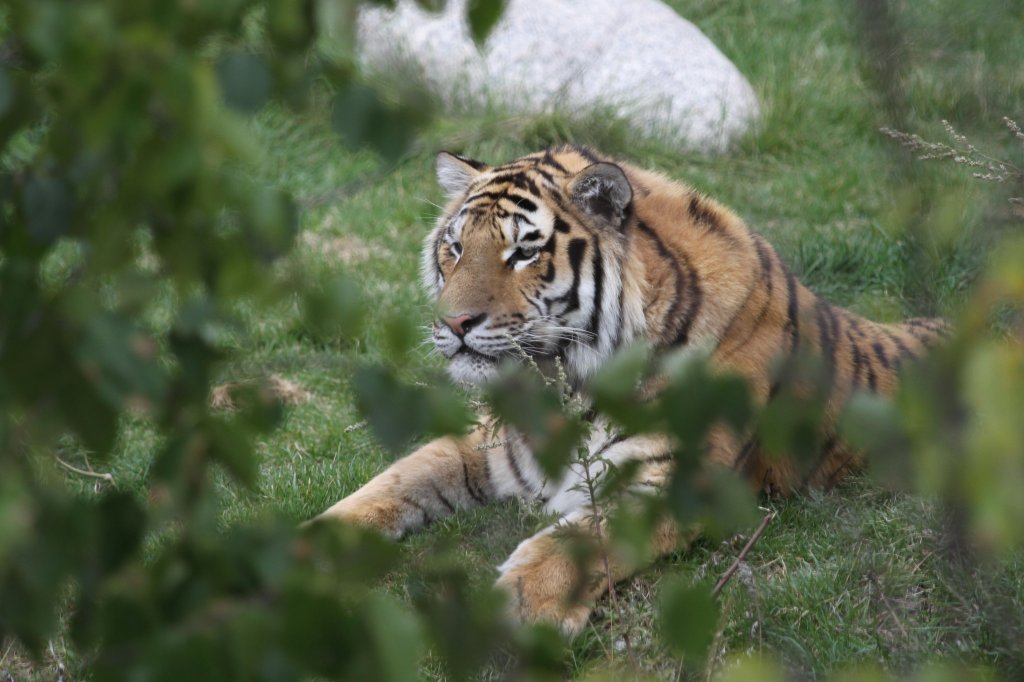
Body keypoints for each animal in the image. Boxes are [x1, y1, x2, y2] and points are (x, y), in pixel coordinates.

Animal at [313, 142, 950, 630]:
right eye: (455, 246)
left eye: (523, 252)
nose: (452, 324)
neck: (564, 381)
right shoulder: (493, 445)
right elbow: (394, 481)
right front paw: (310, 543)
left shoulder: (677, 479)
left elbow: (582, 538)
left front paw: (521, 606)